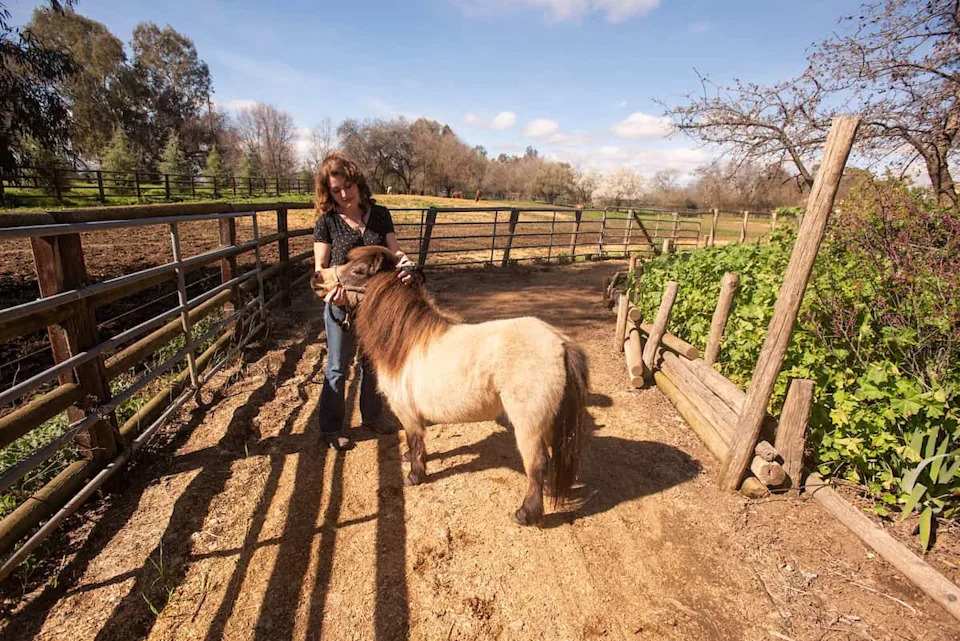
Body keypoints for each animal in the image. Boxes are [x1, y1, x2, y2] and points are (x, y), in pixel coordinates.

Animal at [310, 246, 590, 525]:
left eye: (358, 271)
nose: (317, 277)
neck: (405, 342)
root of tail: (560, 343)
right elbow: (416, 443)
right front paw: (410, 460)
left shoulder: (407, 412)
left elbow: (414, 440)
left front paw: (414, 476)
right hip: (549, 422)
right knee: (552, 457)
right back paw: (549, 490)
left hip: (528, 425)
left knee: (537, 464)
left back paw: (526, 513)